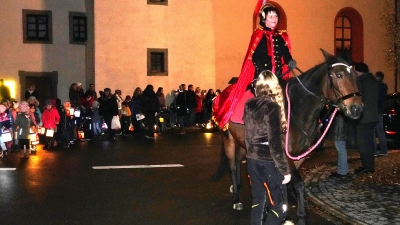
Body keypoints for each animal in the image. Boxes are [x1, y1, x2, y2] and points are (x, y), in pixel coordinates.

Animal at [211, 49, 364, 225]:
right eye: (339, 75)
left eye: (355, 75)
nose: (357, 108)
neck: (298, 109)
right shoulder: (284, 155)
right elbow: (297, 184)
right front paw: (297, 216)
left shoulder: (298, 157)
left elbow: (288, 182)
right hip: (228, 138)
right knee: (232, 166)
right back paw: (236, 199)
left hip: (244, 143)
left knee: (237, 160)